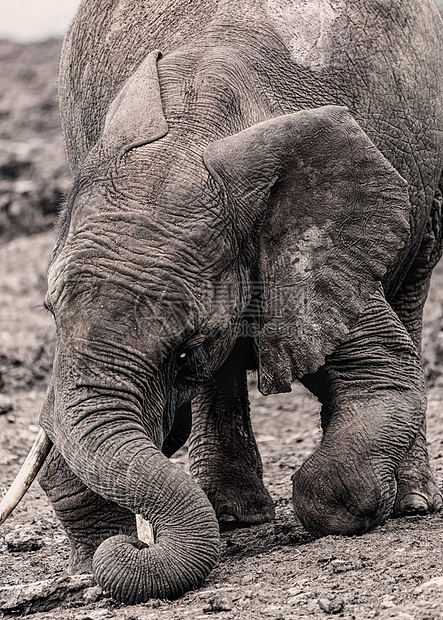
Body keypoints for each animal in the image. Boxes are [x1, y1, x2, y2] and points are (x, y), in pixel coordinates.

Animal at [0, 0, 443, 604]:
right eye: (49, 311)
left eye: (186, 350)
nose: (130, 546)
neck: (192, 132)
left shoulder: (313, 253)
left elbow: (383, 374)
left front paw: (346, 505)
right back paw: (234, 516)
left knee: (415, 282)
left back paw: (412, 503)